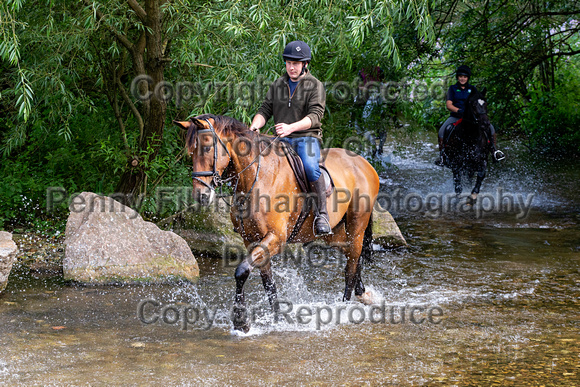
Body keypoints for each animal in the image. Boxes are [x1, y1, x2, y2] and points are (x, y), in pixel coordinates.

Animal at [172, 115, 380, 334]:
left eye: (206, 148)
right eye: (190, 152)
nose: (201, 196)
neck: (256, 178)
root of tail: (364, 163)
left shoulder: (275, 238)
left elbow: (241, 271)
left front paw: (241, 322)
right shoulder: (252, 240)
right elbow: (268, 283)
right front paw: (278, 318)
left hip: (357, 226)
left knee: (351, 267)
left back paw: (344, 307)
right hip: (336, 234)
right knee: (352, 257)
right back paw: (362, 294)